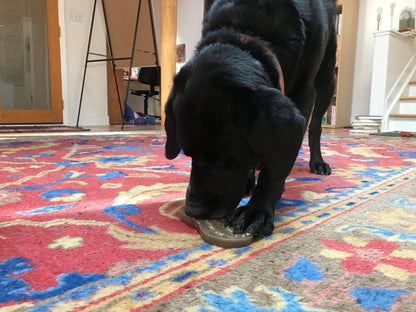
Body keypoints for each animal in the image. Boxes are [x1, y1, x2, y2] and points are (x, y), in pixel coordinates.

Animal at [164, 0, 336, 239]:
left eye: (228, 158)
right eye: (187, 154)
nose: (193, 210)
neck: (247, 31)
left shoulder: (304, 95)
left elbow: (276, 163)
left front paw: (257, 210)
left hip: (327, 76)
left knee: (315, 126)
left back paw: (317, 162)